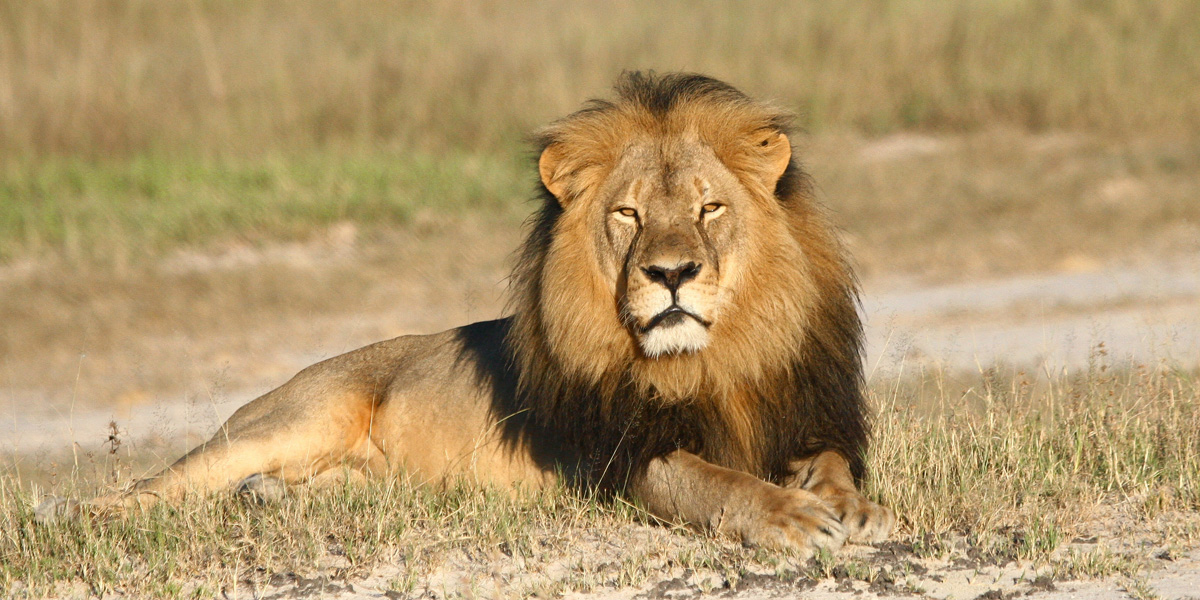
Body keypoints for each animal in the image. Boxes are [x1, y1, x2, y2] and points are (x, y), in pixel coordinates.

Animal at [40, 72, 894, 553]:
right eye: (627, 215)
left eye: (710, 208)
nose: (672, 273)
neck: (711, 361)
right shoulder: (620, 460)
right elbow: (714, 483)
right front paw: (791, 518)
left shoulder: (802, 417)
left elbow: (832, 464)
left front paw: (852, 509)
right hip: (288, 419)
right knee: (157, 484)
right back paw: (74, 516)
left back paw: (270, 498)